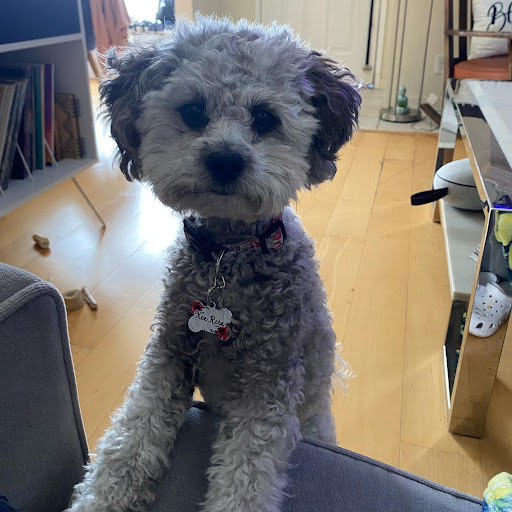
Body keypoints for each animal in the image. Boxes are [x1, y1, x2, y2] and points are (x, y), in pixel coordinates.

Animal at [67, 15, 361, 512]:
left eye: (265, 117)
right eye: (192, 111)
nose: (225, 159)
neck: (229, 258)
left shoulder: (265, 390)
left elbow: (245, 477)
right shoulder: (166, 359)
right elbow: (127, 444)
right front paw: (101, 497)